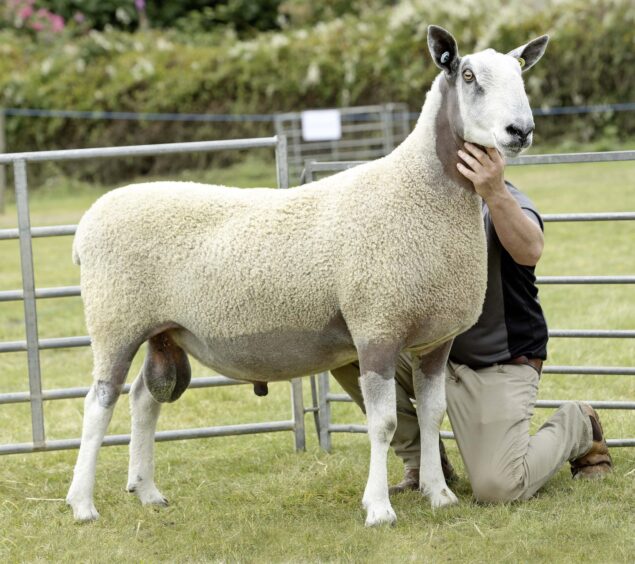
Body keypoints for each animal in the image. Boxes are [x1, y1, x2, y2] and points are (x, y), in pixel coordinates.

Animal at [67, 25, 548, 528]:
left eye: (520, 73)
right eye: (469, 75)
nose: (520, 131)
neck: (417, 192)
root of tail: (88, 224)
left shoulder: (435, 339)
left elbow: (433, 415)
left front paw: (439, 495)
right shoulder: (377, 327)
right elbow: (384, 423)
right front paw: (379, 509)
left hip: (162, 329)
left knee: (144, 400)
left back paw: (147, 491)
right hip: (115, 319)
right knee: (98, 405)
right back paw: (82, 504)